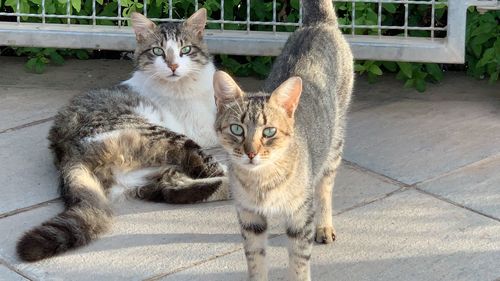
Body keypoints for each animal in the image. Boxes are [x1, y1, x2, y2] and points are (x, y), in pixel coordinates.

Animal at [14, 8, 229, 262]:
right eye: (158, 51)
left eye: (185, 49)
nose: (174, 65)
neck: (186, 84)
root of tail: (66, 150)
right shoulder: (204, 126)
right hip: (159, 135)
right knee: (200, 168)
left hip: (147, 170)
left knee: (173, 191)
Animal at [213, 0, 354, 278]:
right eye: (236, 129)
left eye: (269, 131)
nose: (251, 152)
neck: (262, 182)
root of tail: (317, 23)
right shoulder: (249, 217)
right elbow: (256, 261)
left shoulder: (300, 217)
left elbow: (299, 263)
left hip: (335, 143)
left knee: (325, 187)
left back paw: (324, 227)